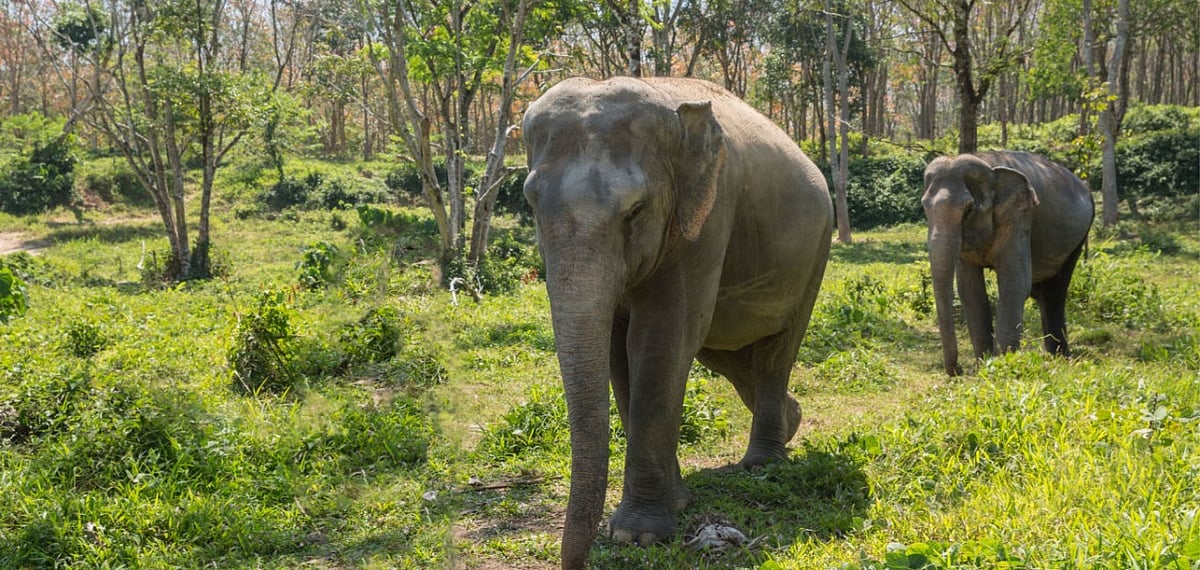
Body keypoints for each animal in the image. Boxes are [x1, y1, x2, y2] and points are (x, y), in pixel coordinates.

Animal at [521, 76, 833, 568]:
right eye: (531, 204)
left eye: (635, 210)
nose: (572, 562)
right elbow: (618, 351)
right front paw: (676, 503)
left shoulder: (706, 220)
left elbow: (661, 339)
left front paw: (638, 535)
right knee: (731, 356)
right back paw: (792, 420)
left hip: (816, 252)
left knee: (774, 354)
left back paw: (763, 464)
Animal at [922, 151, 1094, 377]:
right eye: (924, 207)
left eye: (969, 209)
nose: (959, 369)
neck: (988, 165)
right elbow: (970, 289)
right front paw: (982, 366)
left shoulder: (1019, 218)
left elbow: (1014, 283)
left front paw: (998, 366)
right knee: (1043, 293)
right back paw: (1055, 358)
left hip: (1078, 240)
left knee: (1055, 292)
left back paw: (1061, 360)